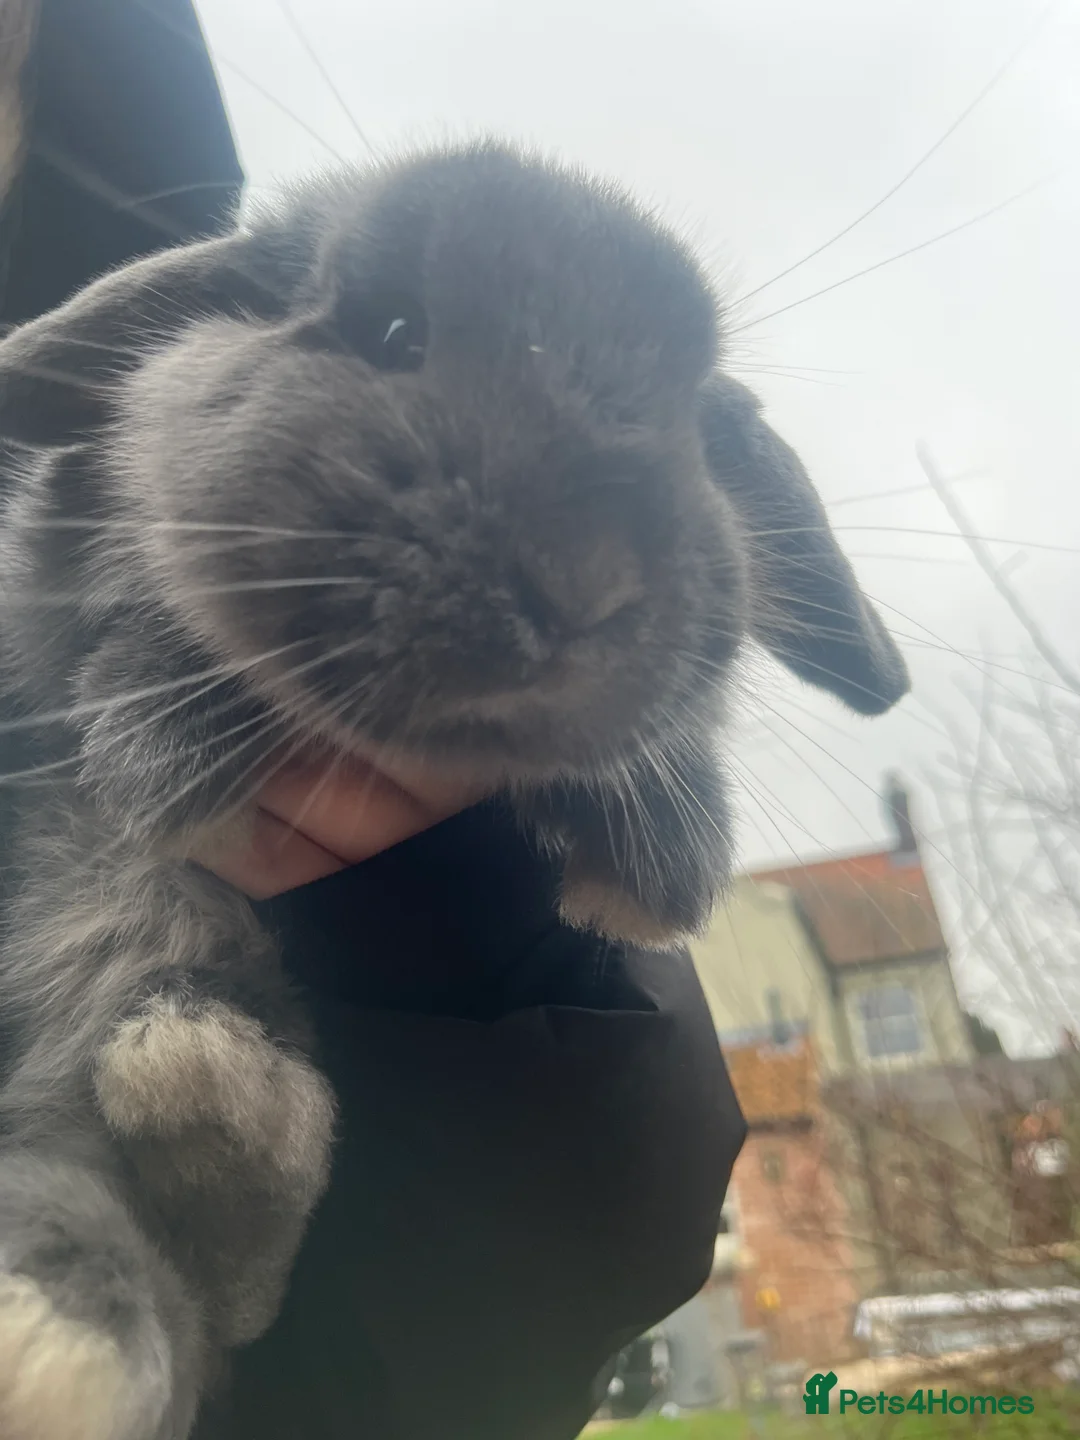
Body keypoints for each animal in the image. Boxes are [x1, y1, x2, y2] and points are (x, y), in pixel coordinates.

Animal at [0, 139, 908, 1438]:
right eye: (390, 326)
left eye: (695, 419)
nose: (586, 577)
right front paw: (161, 734)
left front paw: (652, 867)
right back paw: (63, 1310)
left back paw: (204, 1107)